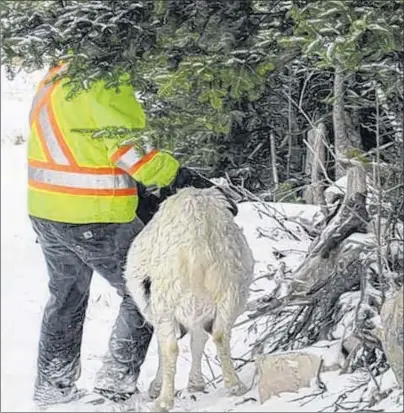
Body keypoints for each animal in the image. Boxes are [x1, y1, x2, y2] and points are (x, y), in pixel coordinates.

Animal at [124, 185, 254, 410]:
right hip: (229, 293)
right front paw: (196, 384)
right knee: (220, 335)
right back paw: (235, 385)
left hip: (166, 301)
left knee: (170, 348)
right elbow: (199, 340)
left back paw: (164, 400)